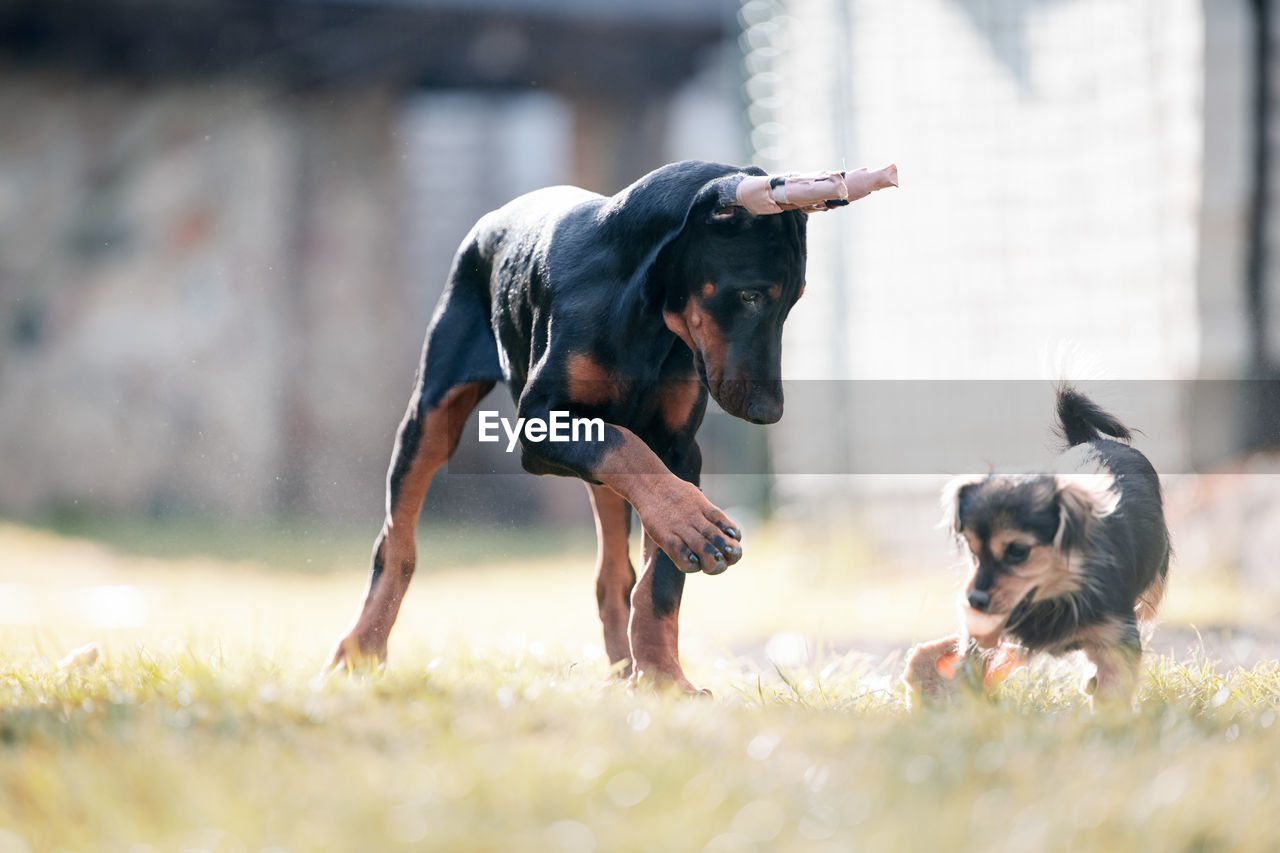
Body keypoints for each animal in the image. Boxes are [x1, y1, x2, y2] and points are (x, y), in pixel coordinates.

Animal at [325, 161, 896, 691]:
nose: (767, 412)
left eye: (792, 301)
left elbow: (660, 579)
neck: (643, 309)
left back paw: (625, 672)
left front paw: (665, 679)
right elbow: (626, 452)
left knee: (613, 572)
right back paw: (361, 649)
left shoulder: (678, 448)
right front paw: (692, 524)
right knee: (397, 543)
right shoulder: (540, 428)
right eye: (751, 296)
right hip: (431, 412)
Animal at [901, 384, 1172, 701]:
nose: (975, 600)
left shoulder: (1117, 636)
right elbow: (972, 661)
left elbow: (1113, 689)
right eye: (972, 551)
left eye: (1018, 551)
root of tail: (1090, 439)